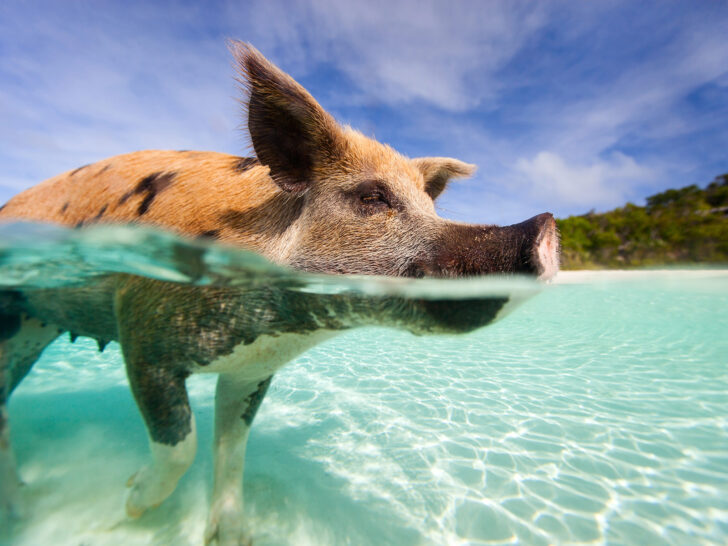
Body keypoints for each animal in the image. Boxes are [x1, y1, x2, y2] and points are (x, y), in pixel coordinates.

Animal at [0, 42, 556, 544]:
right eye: (372, 197)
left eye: (430, 207)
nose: (545, 226)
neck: (280, 324)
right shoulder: (141, 337)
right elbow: (181, 444)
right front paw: (130, 502)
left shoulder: (251, 369)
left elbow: (232, 447)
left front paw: (233, 536)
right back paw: (27, 508)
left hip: (33, 329)